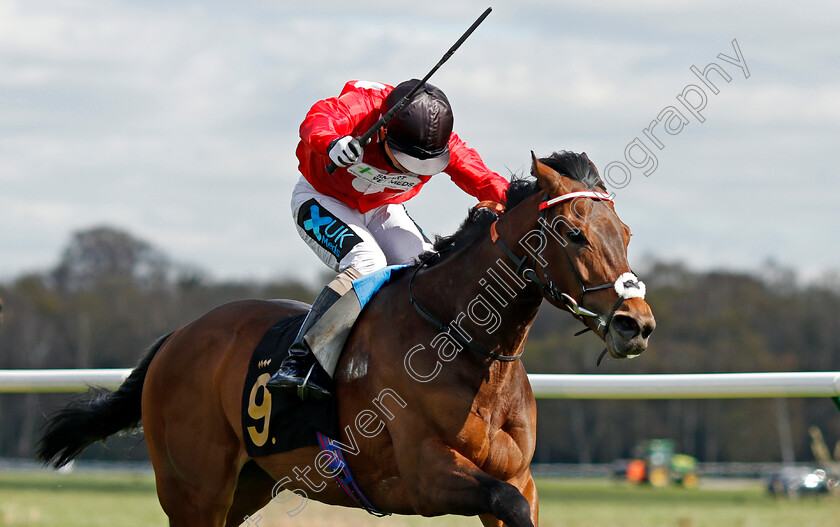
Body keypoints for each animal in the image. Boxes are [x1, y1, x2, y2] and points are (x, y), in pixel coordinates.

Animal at [37, 153, 656, 527]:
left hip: (248, 484)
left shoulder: (518, 477)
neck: (464, 345)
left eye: (624, 233)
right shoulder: (427, 474)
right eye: (572, 232)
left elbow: (516, 500)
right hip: (195, 489)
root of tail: (178, 337)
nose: (637, 323)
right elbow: (502, 503)